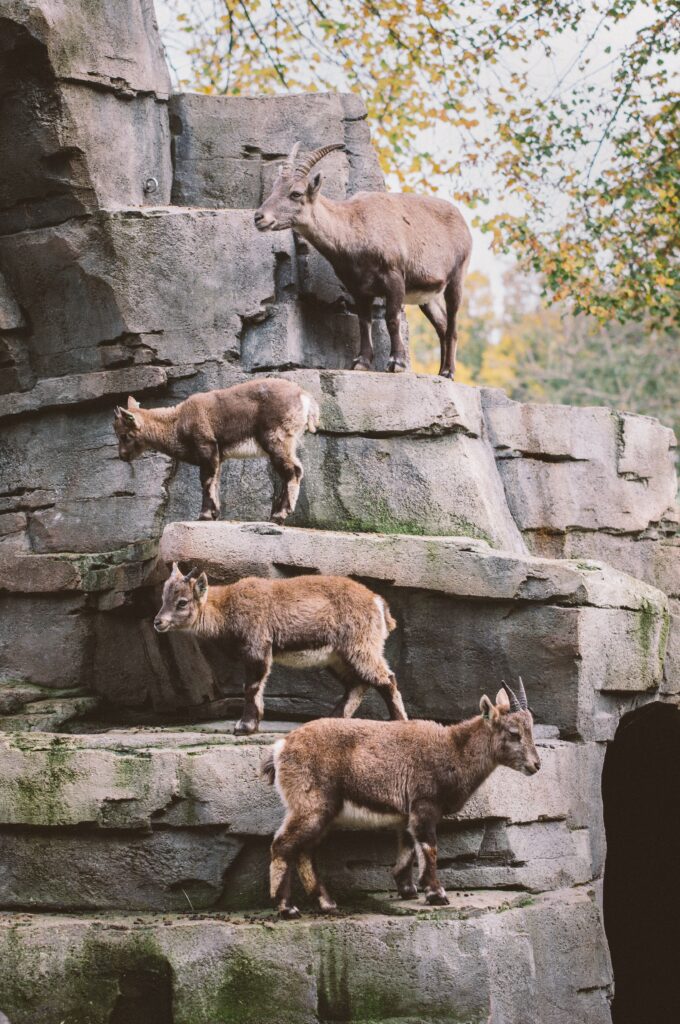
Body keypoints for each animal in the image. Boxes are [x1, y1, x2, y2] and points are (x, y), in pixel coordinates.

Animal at [112, 374, 319, 520]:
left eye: (124, 435)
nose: (122, 456)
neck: (177, 422)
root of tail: (304, 397)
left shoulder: (206, 446)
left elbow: (206, 481)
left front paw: (204, 515)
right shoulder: (218, 455)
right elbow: (216, 480)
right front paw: (214, 514)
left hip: (277, 439)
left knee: (293, 471)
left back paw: (279, 515)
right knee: (294, 470)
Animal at [155, 561, 409, 737]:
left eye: (182, 602)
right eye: (163, 598)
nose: (158, 622)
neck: (227, 607)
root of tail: (378, 602)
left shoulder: (257, 647)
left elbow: (251, 687)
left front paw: (244, 726)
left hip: (360, 646)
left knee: (386, 679)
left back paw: (398, 722)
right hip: (337, 657)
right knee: (357, 684)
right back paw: (331, 719)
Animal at [255, 142, 473, 378]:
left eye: (296, 193)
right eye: (274, 188)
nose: (259, 217)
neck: (355, 226)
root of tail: (463, 223)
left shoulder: (394, 277)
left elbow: (392, 319)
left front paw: (396, 363)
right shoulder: (359, 288)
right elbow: (363, 322)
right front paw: (361, 362)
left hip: (457, 277)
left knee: (452, 325)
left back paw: (448, 371)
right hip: (427, 295)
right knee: (441, 324)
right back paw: (441, 370)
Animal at [262, 684, 540, 917]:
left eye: (530, 730)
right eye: (514, 733)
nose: (536, 765)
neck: (455, 749)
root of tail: (280, 748)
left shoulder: (407, 814)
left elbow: (408, 848)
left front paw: (407, 889)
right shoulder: (424, 804)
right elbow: (428, 847)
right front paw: (437, 894)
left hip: (319, 812)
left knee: (304, 851)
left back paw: (326, 902)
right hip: (311, 805)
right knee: (282, 846)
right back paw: (288, 908)